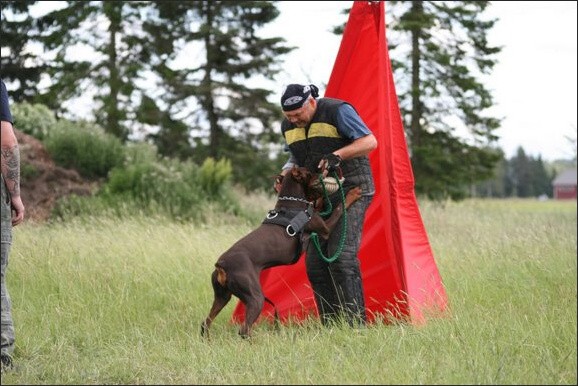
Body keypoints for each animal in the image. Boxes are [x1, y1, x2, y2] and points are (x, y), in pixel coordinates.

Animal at [200, 165, 358, 338]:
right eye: (309, 173)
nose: (322, 171)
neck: (290, 203)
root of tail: (221, 265)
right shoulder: (325, 229)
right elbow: (339, 208)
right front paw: (353, 193)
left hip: (222, 295)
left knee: (206, 322)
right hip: (255, 297)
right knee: (244, 329)